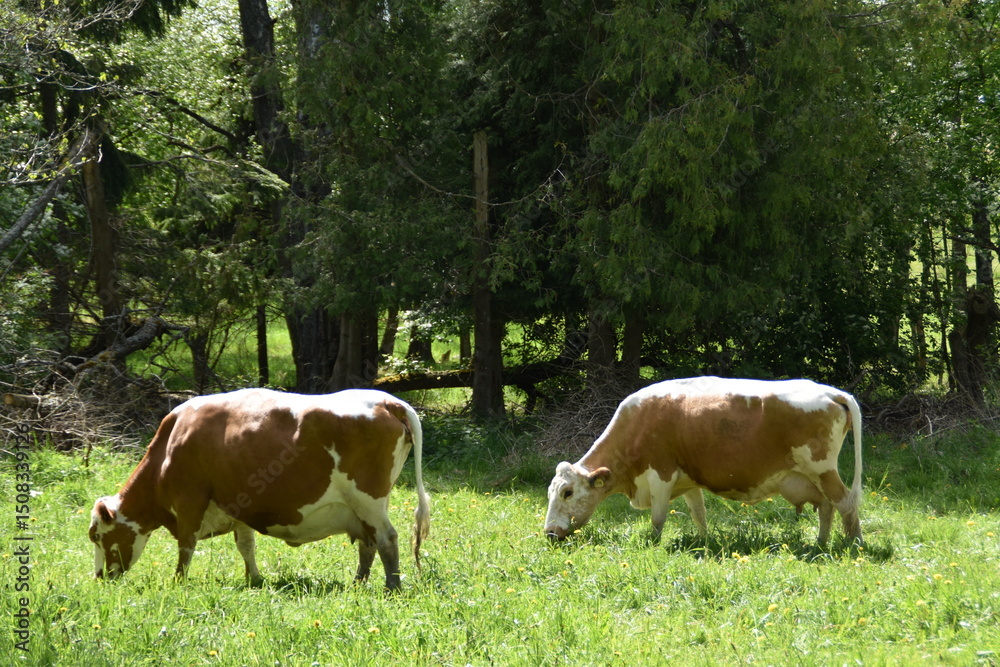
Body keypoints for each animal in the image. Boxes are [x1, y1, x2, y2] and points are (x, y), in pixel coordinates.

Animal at [89, 388, 430, 591]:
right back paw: (357, 584)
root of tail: (388, 400)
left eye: (96, 536)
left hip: (367, 500)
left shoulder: (189, 501)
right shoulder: (238, 505)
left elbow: (186, 546)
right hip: (359, 507)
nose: (100, 577)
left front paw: (178, 581)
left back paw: (392, 588)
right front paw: (253, 578)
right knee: (367, 543)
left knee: (386, 539)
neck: (172, 442)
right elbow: (246, 545)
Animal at [544, 377, 863, 545]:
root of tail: (831, 391)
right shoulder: (689, 479)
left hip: (823, 470)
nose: (549, 533)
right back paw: (820, 543)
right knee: (826, 506)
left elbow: (658, 518)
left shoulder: (661, 475)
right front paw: (703, 542)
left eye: (567, 492)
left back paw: (852, 544)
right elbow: (699, 514)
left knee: (845, 503)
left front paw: (653, 544)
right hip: (810, 476)